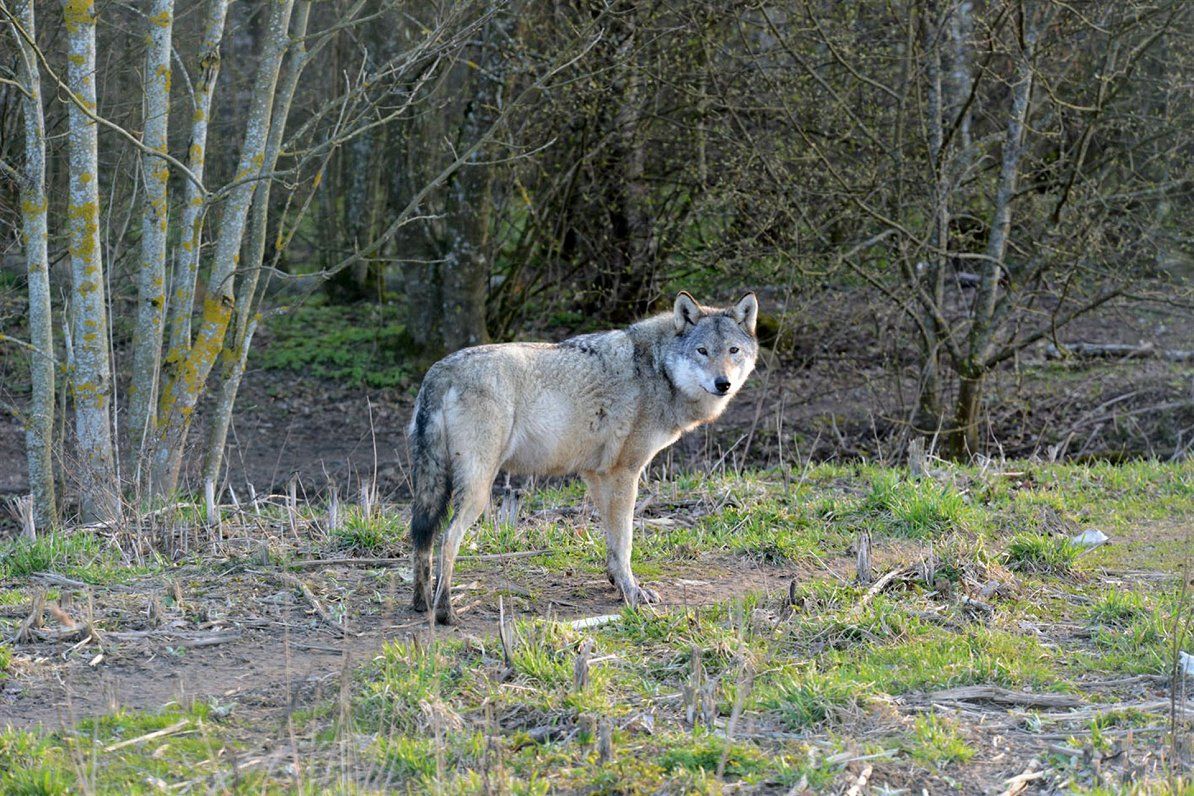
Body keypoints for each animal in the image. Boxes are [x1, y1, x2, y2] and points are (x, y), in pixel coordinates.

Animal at [403, 289, 754, 625]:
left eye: (733, 350)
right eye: (702, 351)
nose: (723, 383)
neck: (657, 370)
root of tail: (439, 371)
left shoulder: (596, 474)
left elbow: (612, 540)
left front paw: (616, 582)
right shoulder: (625, 473)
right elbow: (625, 541)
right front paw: (633, 592)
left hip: (433, 488)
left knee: (422, 538)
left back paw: (422, 603)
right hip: (478, 490)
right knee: (447, 538)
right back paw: (445, 612)